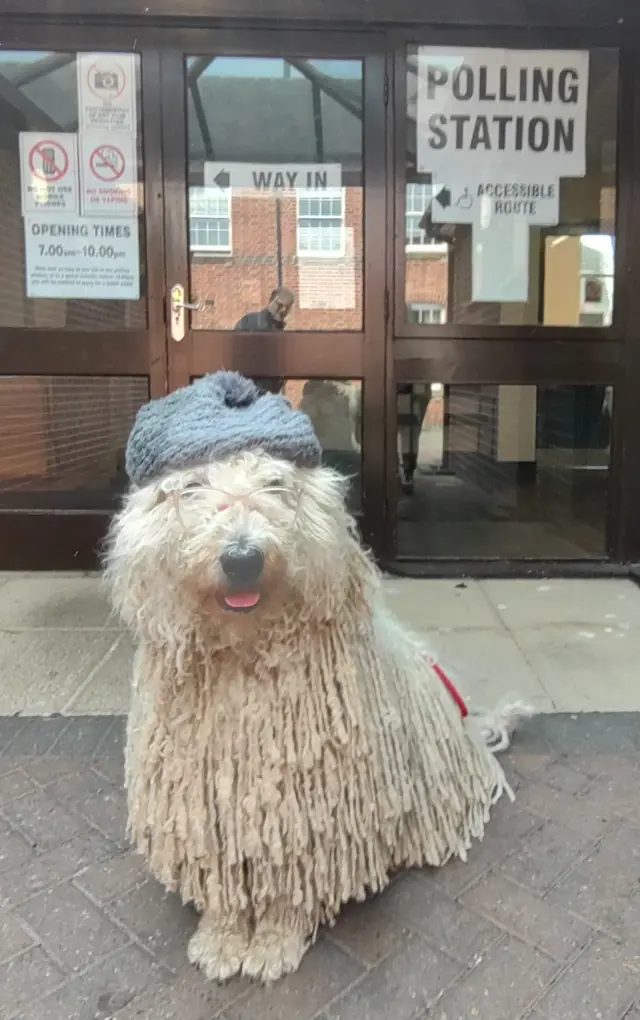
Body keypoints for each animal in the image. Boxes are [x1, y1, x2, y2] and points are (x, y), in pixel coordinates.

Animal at [106, 444, 526, 979]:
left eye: (275, 483)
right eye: (193, 486)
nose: (242, 559)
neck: (246, 653)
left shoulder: (310, 807)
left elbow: (292, 878)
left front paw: (273, 943)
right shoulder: (206, 806)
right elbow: (222, 879)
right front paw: (221, 939)